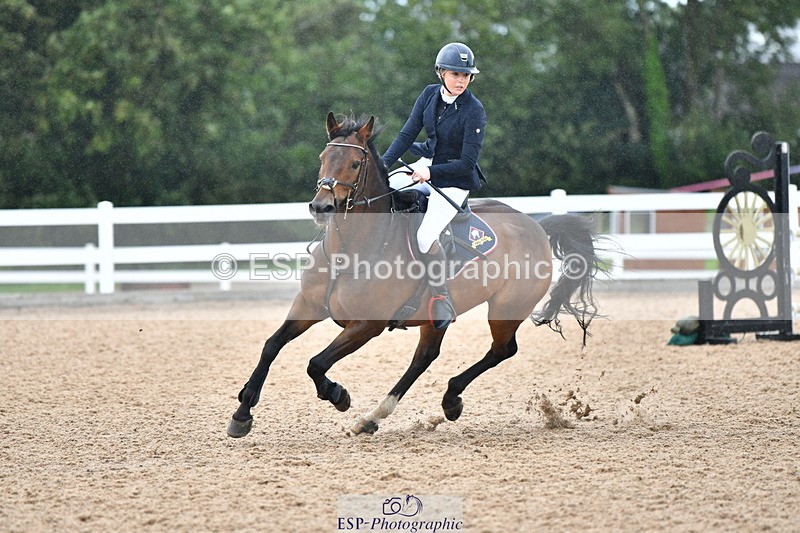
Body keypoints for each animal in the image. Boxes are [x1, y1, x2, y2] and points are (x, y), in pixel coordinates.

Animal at [227, 113, 601, 438]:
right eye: (323, 157)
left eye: (355, 164)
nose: (321, 207)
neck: (348, 251)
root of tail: (537, 226)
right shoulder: (308, 306)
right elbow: (271, 346)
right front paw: (242, 413)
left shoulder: (366, 326)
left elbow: (315, 363)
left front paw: (338, 395)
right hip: (435, 318)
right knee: (425, 357)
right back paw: (378, 417)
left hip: (506, 309)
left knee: (502, 350)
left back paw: (446, 401)